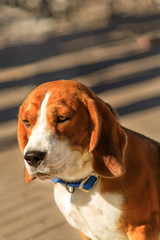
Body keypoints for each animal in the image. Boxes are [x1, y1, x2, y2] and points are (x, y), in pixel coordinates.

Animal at [17, 80, 160, 240]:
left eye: (62, 118)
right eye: (26, 122)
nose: (32, 157)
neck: (84, 182)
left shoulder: (141, 228)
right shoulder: (85, 232)